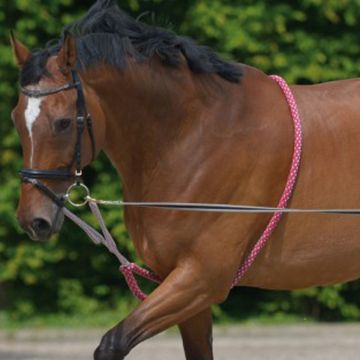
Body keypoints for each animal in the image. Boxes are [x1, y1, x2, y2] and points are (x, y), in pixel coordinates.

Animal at [10, 0, 360, 360]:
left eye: (64, 122)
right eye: (16, 118)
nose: (32, 220)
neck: (195, 138)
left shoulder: (201, 279)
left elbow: (112, 343)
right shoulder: (183, 287)